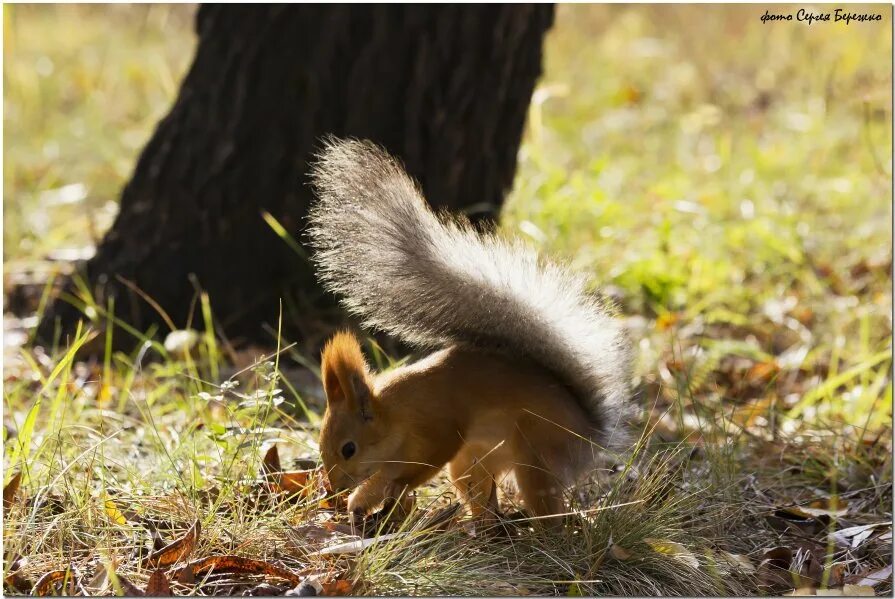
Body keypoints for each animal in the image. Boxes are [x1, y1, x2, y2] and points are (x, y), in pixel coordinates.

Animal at [308, 138, 636, 528]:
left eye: (349, 448)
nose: (332, 489)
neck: (393, 413)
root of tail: (589, 434)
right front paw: (360, 503)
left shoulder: (438, 428)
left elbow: (415, 468)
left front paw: (378, 493)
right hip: (473, 462)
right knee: (480, 492)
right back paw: (482, 525)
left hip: (536, 454)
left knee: (545, 501)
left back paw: (543, 529)